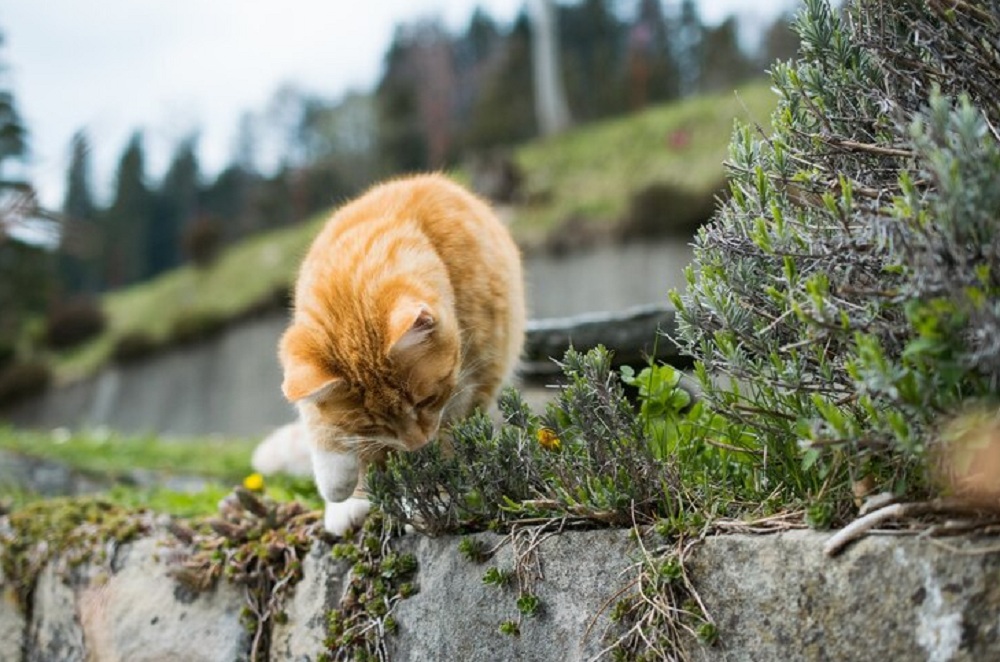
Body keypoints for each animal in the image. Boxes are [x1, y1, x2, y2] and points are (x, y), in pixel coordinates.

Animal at [274, 174, 524, 536]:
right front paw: (338, 482)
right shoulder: (297, 355)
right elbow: (320, 422)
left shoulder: (471, 387)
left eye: (426, 400)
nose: (416, 442)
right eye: (371, 423)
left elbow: (443, 451)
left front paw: (430, 500)